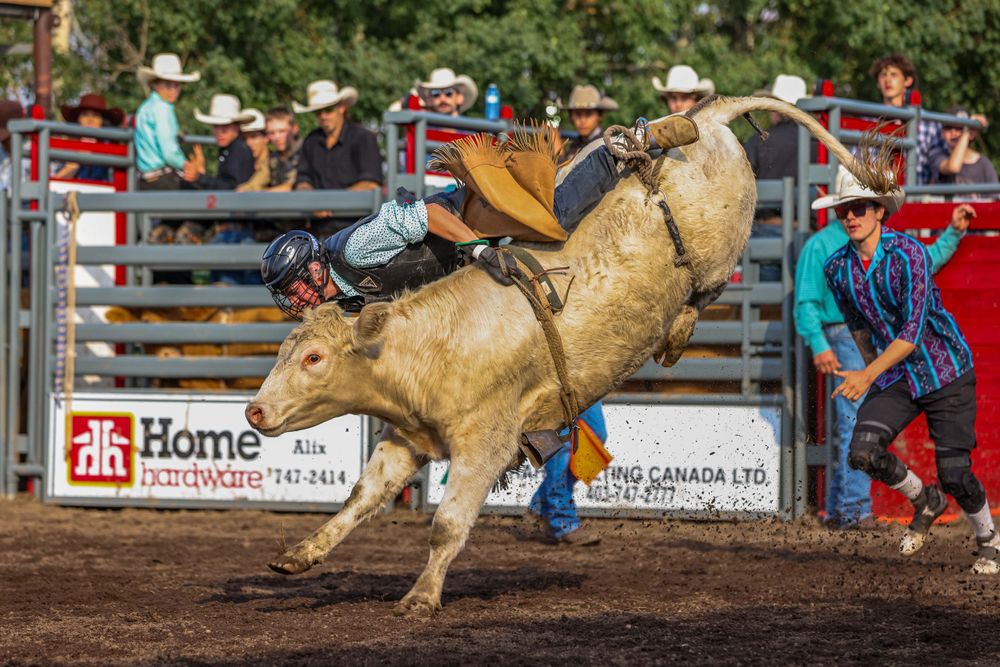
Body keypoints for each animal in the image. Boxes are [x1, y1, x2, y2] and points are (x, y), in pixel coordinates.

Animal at [245, 95, 893, 615]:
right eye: (286, 350)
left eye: (314, 359)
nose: (253, 412)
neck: (431, 341)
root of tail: (711, 117)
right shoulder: (409, 436)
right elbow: (361, 498)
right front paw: (299, 555)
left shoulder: (485, 442)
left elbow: (447, 525)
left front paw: (420, 598)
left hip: (716, 244)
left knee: (700, 281)